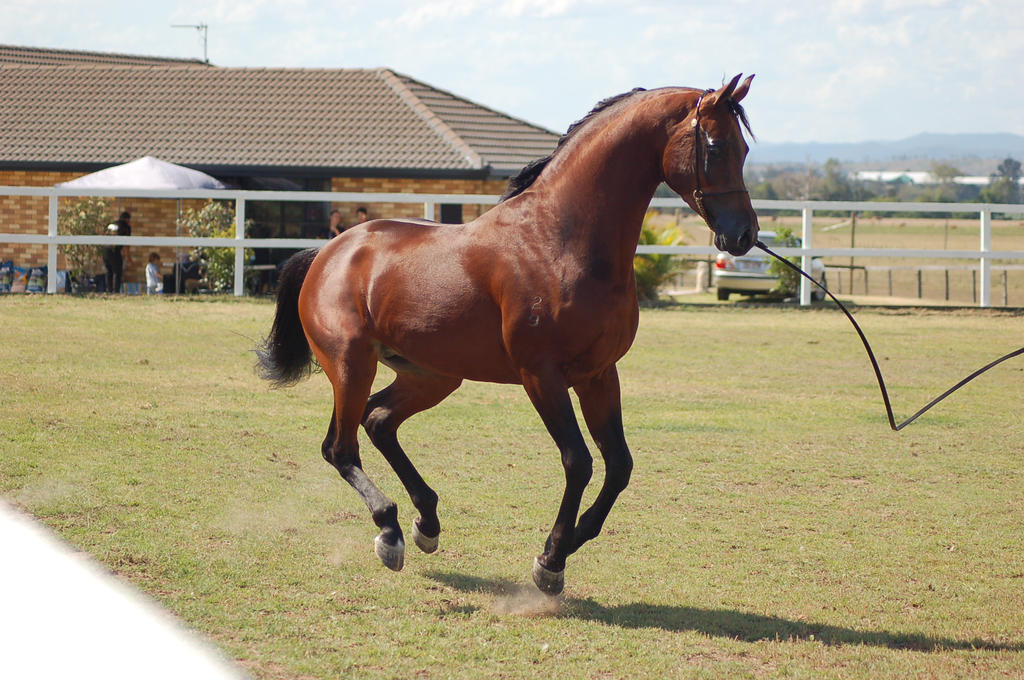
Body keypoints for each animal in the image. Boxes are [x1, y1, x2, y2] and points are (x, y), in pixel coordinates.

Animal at [256, 75, 757, 593]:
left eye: (743, 149)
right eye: (715, 147)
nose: (743, 235)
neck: (560, 239)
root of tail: (327, 252)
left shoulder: (599, 374)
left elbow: (619, 465)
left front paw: (570, 542)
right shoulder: (542, 375)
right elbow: (578, 461)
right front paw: (551, 560)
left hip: (431, 376)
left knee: (377, 422)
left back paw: (425, 523)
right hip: (352, 365)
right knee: (341, 446)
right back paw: (390, 531)